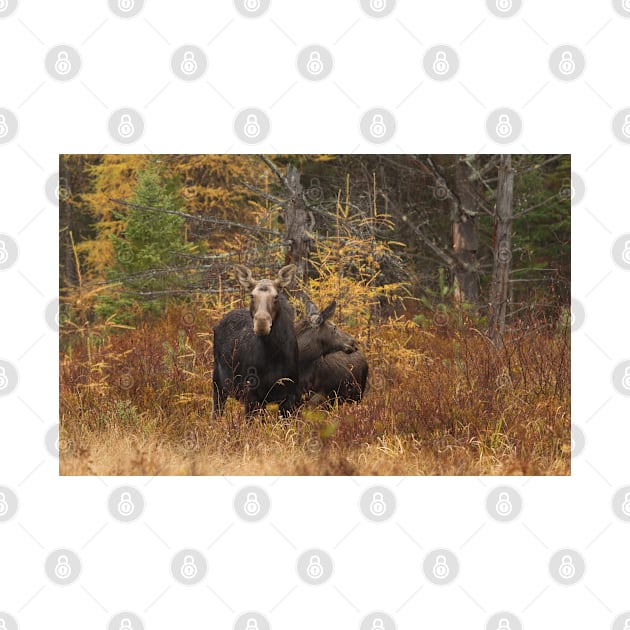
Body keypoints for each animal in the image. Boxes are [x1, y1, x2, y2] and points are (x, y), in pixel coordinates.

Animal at [214, 266, 300, 420]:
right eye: (252, 296)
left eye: (276, 296)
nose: (261, 324)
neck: (273, 354)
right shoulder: (251, 394)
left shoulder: (290, 395)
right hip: (218, 384)